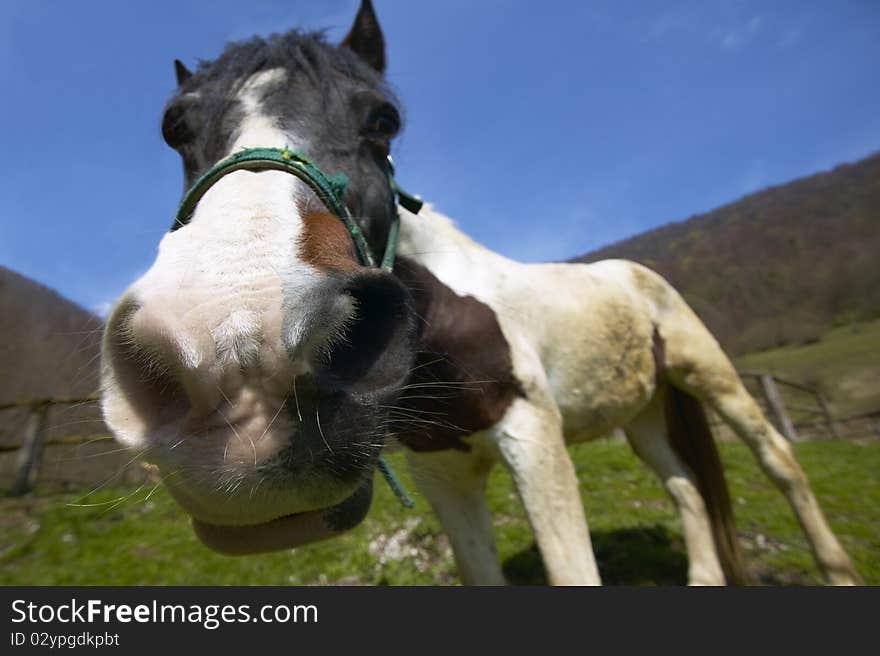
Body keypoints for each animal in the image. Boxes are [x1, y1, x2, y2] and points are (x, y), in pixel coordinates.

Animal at [101, 0, 860, 584]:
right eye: (175, 128)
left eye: (383, 119)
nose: (235, 353)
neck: (446, 326)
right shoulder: (445, 474)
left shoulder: (535, 443)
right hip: (643, 413)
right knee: (686, 487)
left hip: (709, 373)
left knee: (779, 460)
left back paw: (837, 568)